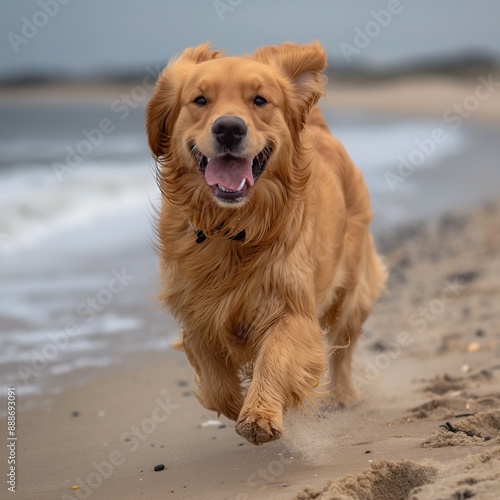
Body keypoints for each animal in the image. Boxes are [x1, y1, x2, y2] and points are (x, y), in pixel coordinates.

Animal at [145, 40, 386, 446]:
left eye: (260, 100)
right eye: (199, 100)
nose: (228, 128)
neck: (233, 229)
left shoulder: (292, 307)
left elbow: (276, 356)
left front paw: (259, 414)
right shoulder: (195, 311)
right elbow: (214, 377)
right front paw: (235, 402)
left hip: (351, 292)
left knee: (343, 349)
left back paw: (343, 395)